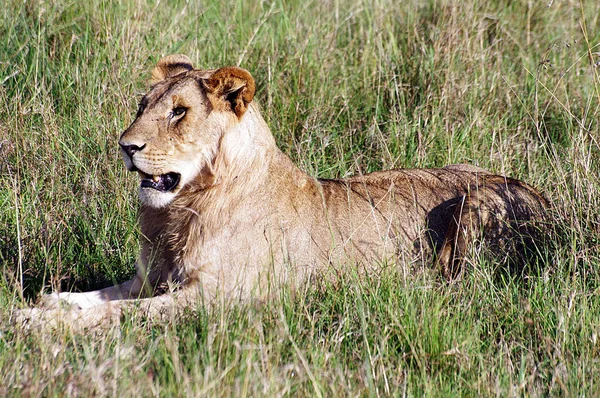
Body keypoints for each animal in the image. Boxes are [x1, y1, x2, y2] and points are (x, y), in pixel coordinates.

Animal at [16, 53, 548, 326]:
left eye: (179, 112)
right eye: (143, 105)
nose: (125, 147)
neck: (179, 210)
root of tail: (549, 201)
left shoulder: (215, 297)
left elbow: (119, 316)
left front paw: (38, 324)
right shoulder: (148, 278)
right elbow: (99, 297)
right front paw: (47, 303)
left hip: (477, 202)